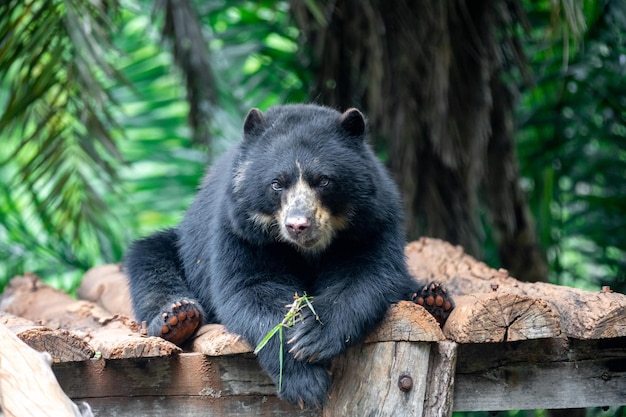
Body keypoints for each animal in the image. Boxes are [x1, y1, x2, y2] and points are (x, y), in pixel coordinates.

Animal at [124, 103, 450, 406]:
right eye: (277, 183)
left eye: (323, 180)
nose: (297, 225)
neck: (307, 248)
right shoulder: (241, 230)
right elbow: (252, 287)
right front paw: (305, 381)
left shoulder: (372, 223)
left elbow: (366, 274)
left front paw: (313, 337)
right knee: (150, 261)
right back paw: (179, 317)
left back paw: (432, 300)